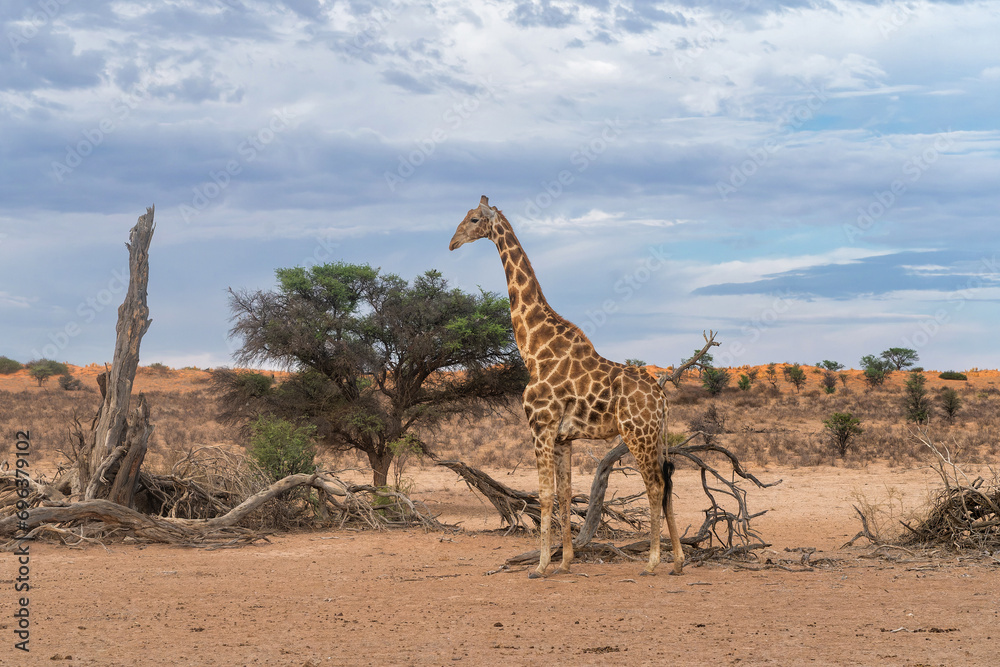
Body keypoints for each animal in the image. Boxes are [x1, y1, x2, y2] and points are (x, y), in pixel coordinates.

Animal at [449, 195, 684, 578]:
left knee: (655, 485)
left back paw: (652, 562)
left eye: (472, 220)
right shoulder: (563, 438)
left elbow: (544, 494)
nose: (452, 243)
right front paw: (566, 561)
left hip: (638, 434)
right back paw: (677, 560)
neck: (534, 349)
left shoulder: (540, 426)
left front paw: (541, 565)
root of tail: (662, 398)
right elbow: (563, 493)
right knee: (666, 485)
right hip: (657, 435)